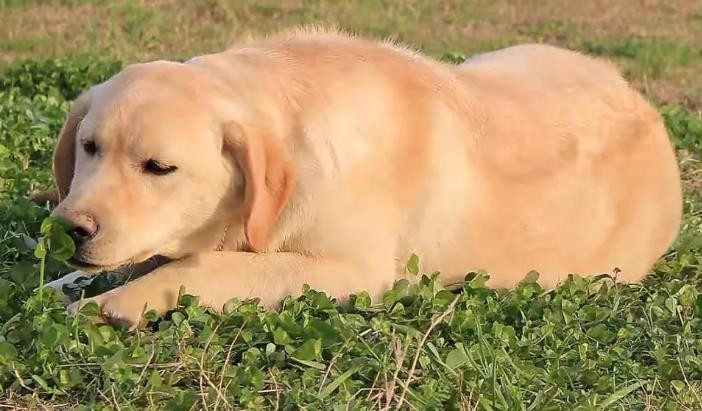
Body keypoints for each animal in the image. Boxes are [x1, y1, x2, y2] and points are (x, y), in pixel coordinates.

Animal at [31, 27, 680, 330]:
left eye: (159, 168)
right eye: (89, 147)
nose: (69, 228)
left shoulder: (353, 272)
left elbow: (202, 263)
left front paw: (116, 303)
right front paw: (60, 286)